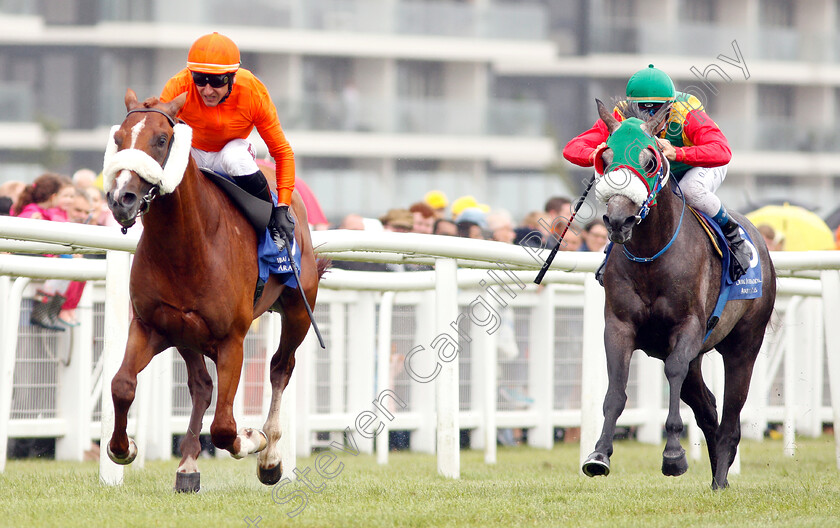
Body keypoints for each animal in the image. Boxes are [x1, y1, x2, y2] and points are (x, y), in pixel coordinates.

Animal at [104, 89, 324, 490]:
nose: (121, 198)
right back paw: (187, 465)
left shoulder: (231, 339)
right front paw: (122, 448)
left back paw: (270, 458)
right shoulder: (150, 325)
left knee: (280, 368)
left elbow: (224, 427)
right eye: (119, 139)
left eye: (161, 139)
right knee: (202, 385)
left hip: (299, 311)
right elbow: (122, 384)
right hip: (185, 334)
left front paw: (253, 439)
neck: (187, 246)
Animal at [584, 100, 776, 490]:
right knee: (707, 407)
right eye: (605, 158)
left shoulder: (687, 327)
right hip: (698, 355)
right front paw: (599, 454)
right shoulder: (619, 326)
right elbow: (616, 390)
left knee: (730, 415)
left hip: (744, 344)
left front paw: (673, 454)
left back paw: (721, 478)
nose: (619, 222)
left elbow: (673, 371)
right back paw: (719, 472)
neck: (651, 256)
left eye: (650, 160)